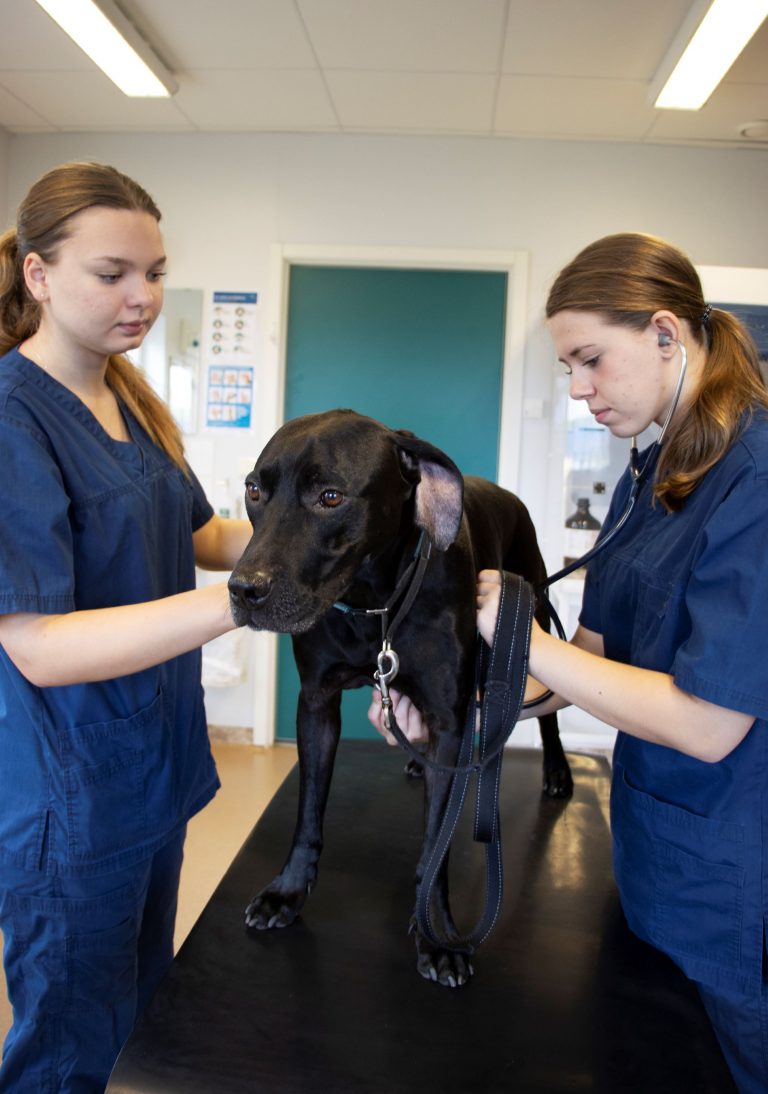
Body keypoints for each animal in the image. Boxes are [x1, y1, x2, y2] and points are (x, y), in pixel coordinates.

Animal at [228, 409, 573, 984]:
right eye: (255, 490)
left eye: (330, 496)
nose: (242, 590)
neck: (376, 605)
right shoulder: (316, 704)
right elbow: (308, 814)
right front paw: (289, 891)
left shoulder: (450, 718)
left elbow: (437, 839)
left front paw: (436, 931)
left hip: (532, 619)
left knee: (544, 715)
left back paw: (557, 771)